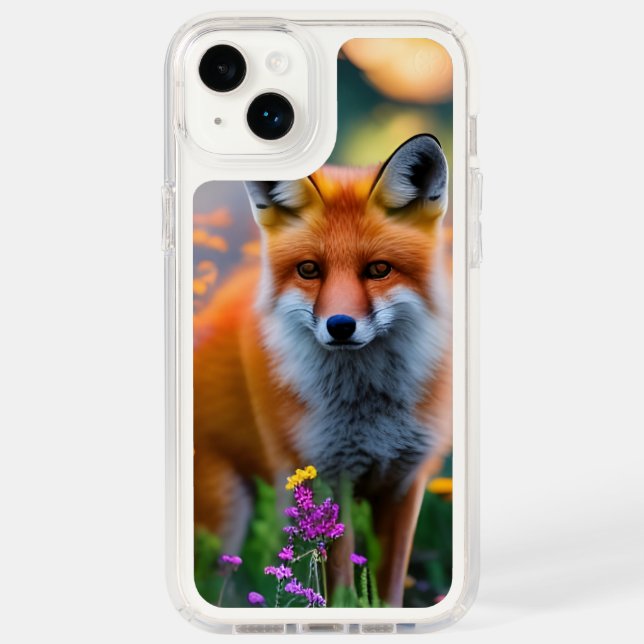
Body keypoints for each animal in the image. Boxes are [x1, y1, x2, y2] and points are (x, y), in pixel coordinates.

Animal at [193, 133, 452, 607]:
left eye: (379, 269)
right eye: (309, 269)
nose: (340, 326)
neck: (369, 412)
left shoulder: (405, 483)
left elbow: (388, 592)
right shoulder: (328, 479)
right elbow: (342, 592)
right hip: (223, 514)